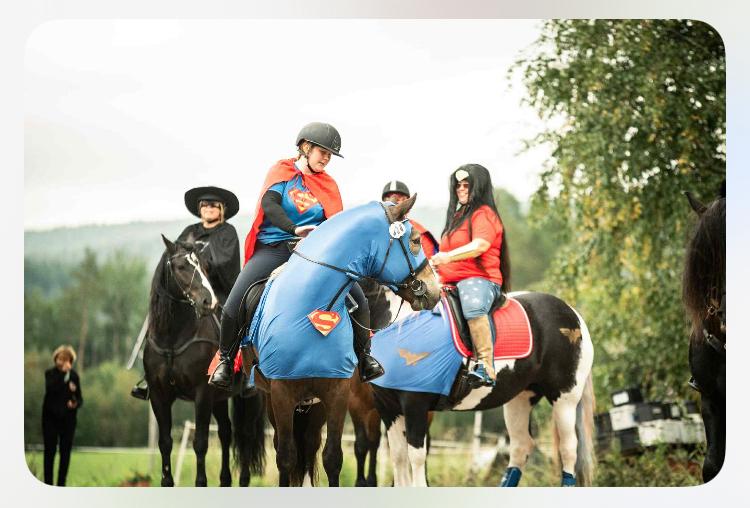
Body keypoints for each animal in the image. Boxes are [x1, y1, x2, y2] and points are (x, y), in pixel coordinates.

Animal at [143, 235, 266, 487]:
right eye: (180, 266)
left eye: (203, 266)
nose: (207, 301)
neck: (173, 337)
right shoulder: (160, 395)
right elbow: (165, 443)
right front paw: (167, 482)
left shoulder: (202, 394)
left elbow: (200, 443)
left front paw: (201, 482)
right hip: (218, 398)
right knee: (226, 432)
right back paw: (225, 480)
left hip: (250, 398)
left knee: (245, 435)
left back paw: (243, 480)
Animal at [239, 196, 441, 486]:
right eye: (414, 240)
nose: (435, 290)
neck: (309, 307)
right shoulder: (281, 394)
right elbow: (286, 457)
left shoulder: (337, 393)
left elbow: (332, 458)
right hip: (274, 401)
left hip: (315, 406)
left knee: (310, 444)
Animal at [370, 290, 596, 487]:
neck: (402, 324)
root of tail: (573, 314)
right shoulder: (388, 409)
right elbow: (399, 457)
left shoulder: (415, 405)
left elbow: (416, 457)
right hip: (520, 399)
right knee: (520, 447)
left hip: (565, 399)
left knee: (568, 449)